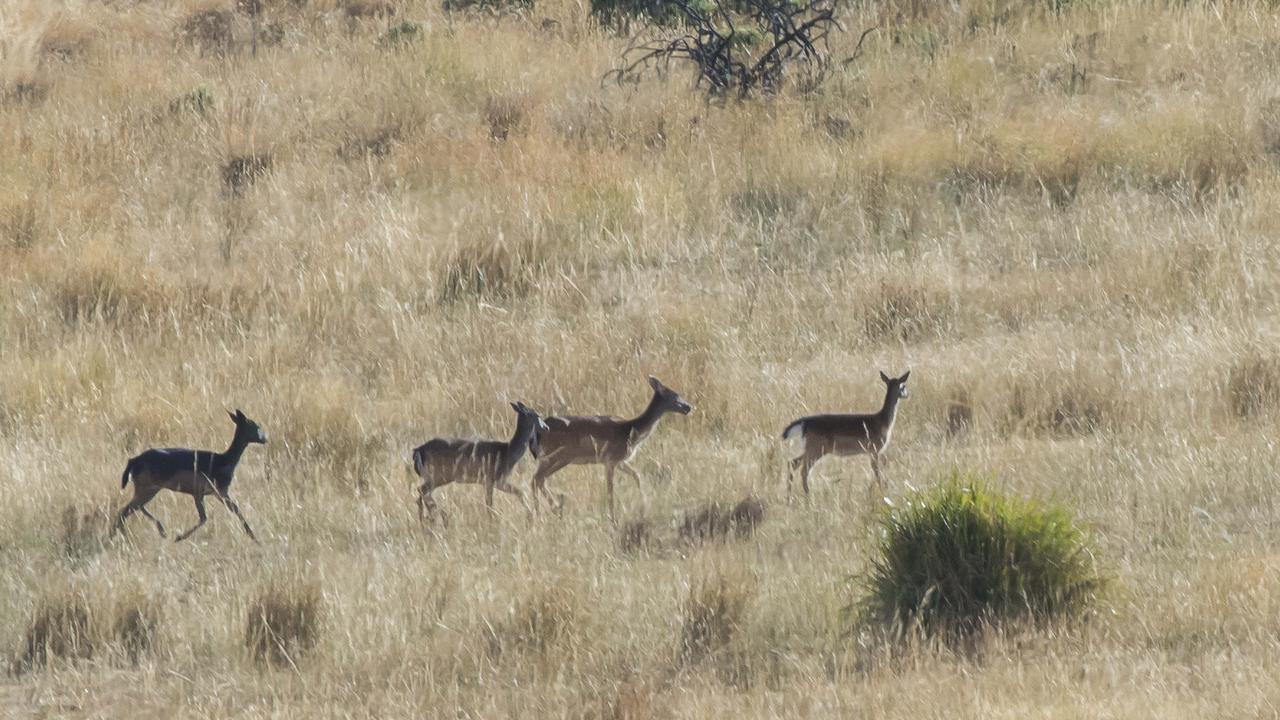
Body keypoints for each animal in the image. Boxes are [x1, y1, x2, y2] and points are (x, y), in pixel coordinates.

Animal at [113, 409, 267, 538]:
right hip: (147, 487)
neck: (224, 462)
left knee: (133, 508)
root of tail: (133, 461)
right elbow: (218, 514)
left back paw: (158, 531)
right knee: (126, 510)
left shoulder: (206, 493)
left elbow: (208, 516)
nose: (265, 438)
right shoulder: (216, 491)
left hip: (149, 488)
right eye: (254, 425)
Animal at [412, 397, 547, 520]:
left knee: (421, 495)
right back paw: (439, 516)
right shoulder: (493, 478)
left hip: (433, 475)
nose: (546, 427)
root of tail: (419, 450)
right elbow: (492, 503)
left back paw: (429, 518)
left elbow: (516, 493)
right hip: (441, 474)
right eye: (537, 415)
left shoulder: (494, 481)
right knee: (422, 491)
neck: (508, 453)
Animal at [527, 371, 696, 517]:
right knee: (538, 478)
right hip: (558, 455)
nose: (688, 407)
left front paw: (644, 503)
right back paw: (549, 510)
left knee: (538, 479)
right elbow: (610, 491)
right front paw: (613, 518)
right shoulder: (610, 459)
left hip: (555, 457)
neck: (631, 431)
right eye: (674, 395)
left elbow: (637, 475)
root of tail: (538, 430)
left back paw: (547, 509)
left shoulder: (619, 461)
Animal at [778, 368, 911, 491]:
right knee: (803, 470)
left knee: (793, 463)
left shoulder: (871, 451)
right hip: (817, 448)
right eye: (903, 386)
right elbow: (877, 473)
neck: (882, 422)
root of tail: (805, 423)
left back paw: (789, 496)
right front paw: (882, 490)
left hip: (812, 448)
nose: (907, 394)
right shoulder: (874, 449)